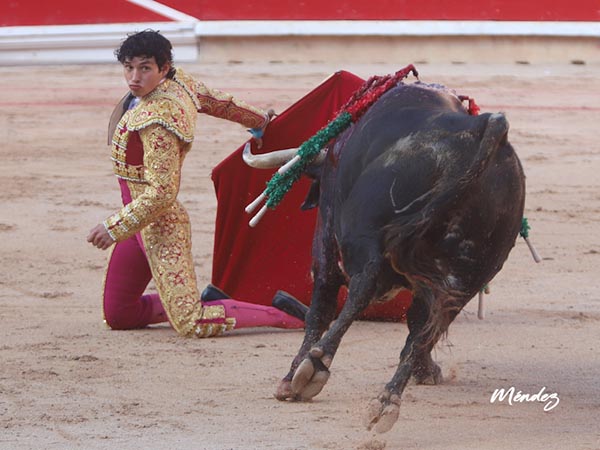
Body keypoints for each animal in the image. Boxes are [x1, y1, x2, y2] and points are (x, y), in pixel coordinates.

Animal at [241, 78, 524, 432]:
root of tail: (488, 127)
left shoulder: (326, 242)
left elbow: (320, 308)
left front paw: (292, 376)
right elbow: (418, 322)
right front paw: (426, 371)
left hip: (361, 240)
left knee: (361, 291)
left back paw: (315, 367)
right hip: (468, 276)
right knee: (428, 324)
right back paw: (387, 400)